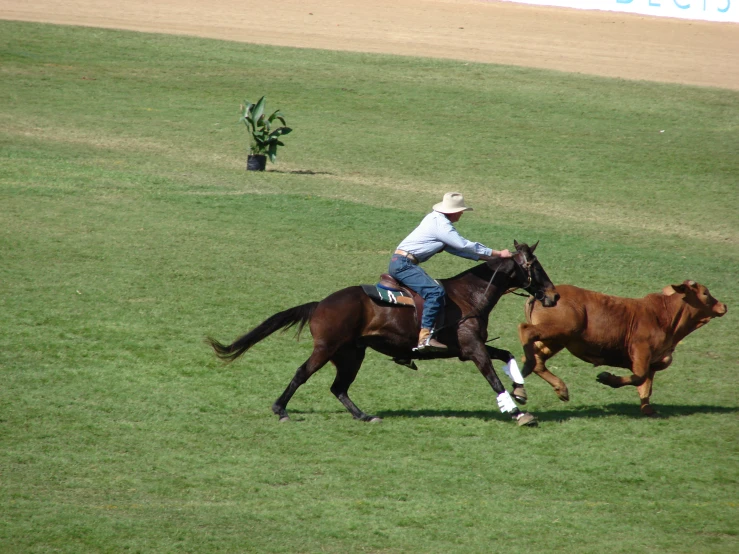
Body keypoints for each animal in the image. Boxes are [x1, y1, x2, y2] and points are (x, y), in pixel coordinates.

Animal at [205, 239, 556, 424]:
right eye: (536, 266)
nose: (553, 296)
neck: (468, 296)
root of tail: (320, 304)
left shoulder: (471, 348)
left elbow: (507, 356)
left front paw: (521, 391)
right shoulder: (473, 350)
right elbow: (494, 379)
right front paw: (516, 412)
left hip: (351, 355)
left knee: (339, 388)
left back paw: (363, 416)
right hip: (326, 349)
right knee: (303, 373)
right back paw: (280, 410)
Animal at [520, 280, 728, 414]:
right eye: (705, 293)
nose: (724, 305)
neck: (666, 317)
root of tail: (540, 295)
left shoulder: (655, 360)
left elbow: (646, 386)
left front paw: (647, 408)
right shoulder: (641, 350)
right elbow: (639, 377)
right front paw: (607, 378)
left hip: (556, 339)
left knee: (538, 360)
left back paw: (558, 388)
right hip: (561, 329)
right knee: (525, 331)